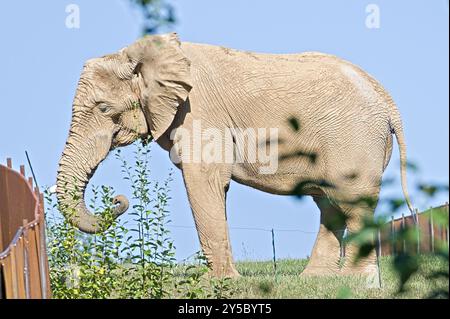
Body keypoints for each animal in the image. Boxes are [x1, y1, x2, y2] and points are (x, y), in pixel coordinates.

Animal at [55, 32, 412, 282]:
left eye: (103, 109)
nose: (118, 199)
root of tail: (388, 101)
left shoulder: (198, 112)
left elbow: (204, 179)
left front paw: (219, 282)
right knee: (329, 205)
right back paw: (315, 280)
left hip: (354, 140)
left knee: (351, 203)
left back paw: (357, 281)